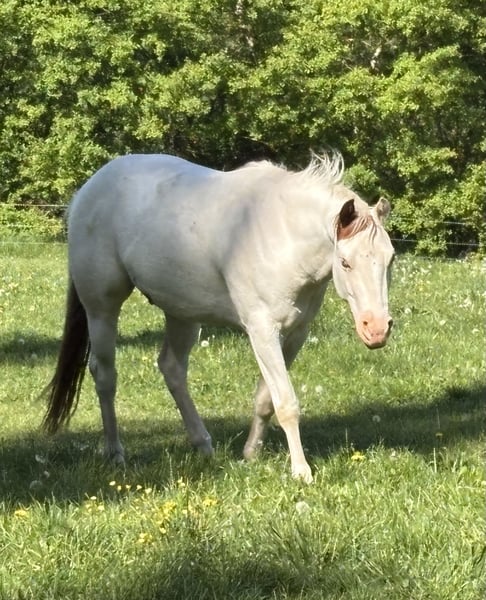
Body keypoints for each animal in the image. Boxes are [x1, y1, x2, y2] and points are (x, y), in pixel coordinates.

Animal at [42, 153, 394, 483]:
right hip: (102, 309)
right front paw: (301, 471)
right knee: (105, 375)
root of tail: (86, 192)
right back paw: (116, 452)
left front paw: (251, 453)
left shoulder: (296, 333)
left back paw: (203, 445)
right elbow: (286, 403)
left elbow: (266, 399)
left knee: (172, 368)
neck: (282, 234)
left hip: (182, 314)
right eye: (345, 262)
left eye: (390, 258)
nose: (377, 329)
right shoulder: (262, 330)